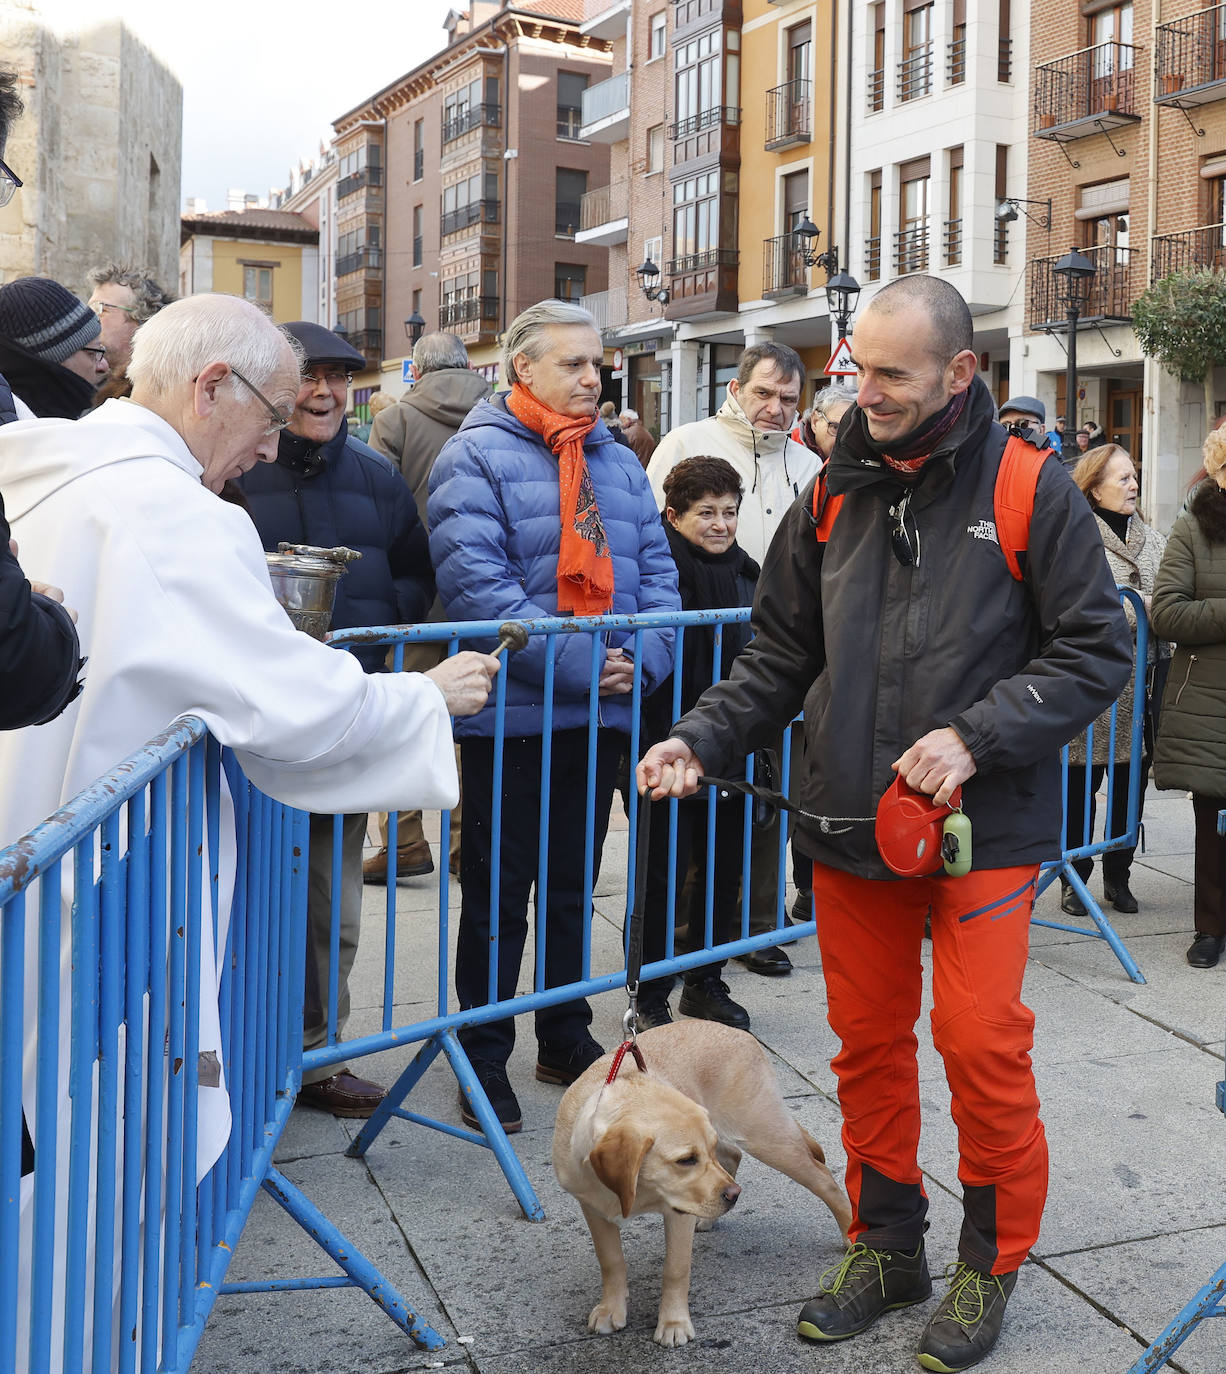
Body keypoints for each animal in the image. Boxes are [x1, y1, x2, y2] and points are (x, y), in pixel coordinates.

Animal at [549, 1027, 846, 1346]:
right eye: (686, 1160)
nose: (734, 1195)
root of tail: (741, 1033)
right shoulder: (593, 1207)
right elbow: (610, 1260)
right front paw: (611, 1309)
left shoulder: (678, 1213)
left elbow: (675, 1269)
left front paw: (673, 1322)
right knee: (733, 1155)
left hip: (766, 1136)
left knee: (824, 1179)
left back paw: (851, 1233)